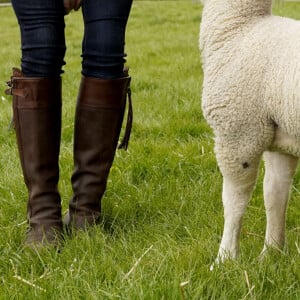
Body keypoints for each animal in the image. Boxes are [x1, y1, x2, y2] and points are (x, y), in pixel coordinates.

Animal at [199, 0, 300, 268]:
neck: (241, 29)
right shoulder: (280, 140)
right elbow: (275, 195)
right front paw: (271, 253)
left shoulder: (239, 135)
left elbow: (234, 201)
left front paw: (224, 259)